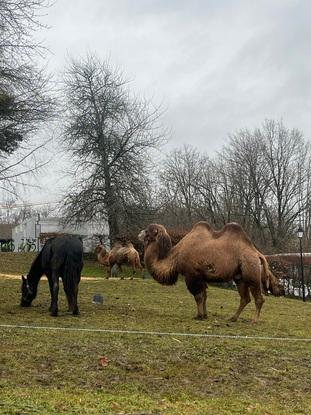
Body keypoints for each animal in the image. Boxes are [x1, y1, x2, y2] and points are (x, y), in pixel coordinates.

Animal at [139, 223, 286, 324]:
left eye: (147, 230)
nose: (139, 233)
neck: (175, 256)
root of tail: (258, 254)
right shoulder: (202, 277)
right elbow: (204, 296)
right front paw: (204, 315)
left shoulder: (192, 275)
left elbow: (198, 296)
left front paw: (199, 316)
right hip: (240, 278)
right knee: (245, 298)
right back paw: (232, 318)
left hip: (251, 274)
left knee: (259, 298)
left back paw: (254, 321)